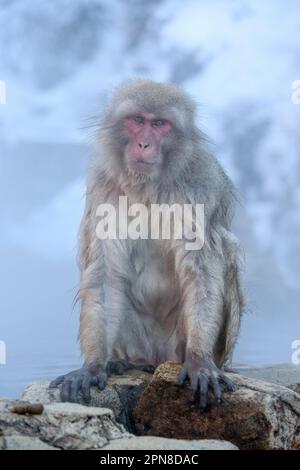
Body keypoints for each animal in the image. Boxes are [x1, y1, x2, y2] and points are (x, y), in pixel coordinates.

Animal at [50, 80, 245, 408]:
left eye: (159, 124)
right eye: (137, 120)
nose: (143, 144)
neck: (149, 186)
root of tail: (157, 358)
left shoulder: (199, 185)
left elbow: (201, 271)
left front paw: (199, 360)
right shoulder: (103, 184)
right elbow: (106, 274)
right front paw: (92, 366)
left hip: (186, 346)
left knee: (225, 252)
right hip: (137, 343)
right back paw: (120, 363)